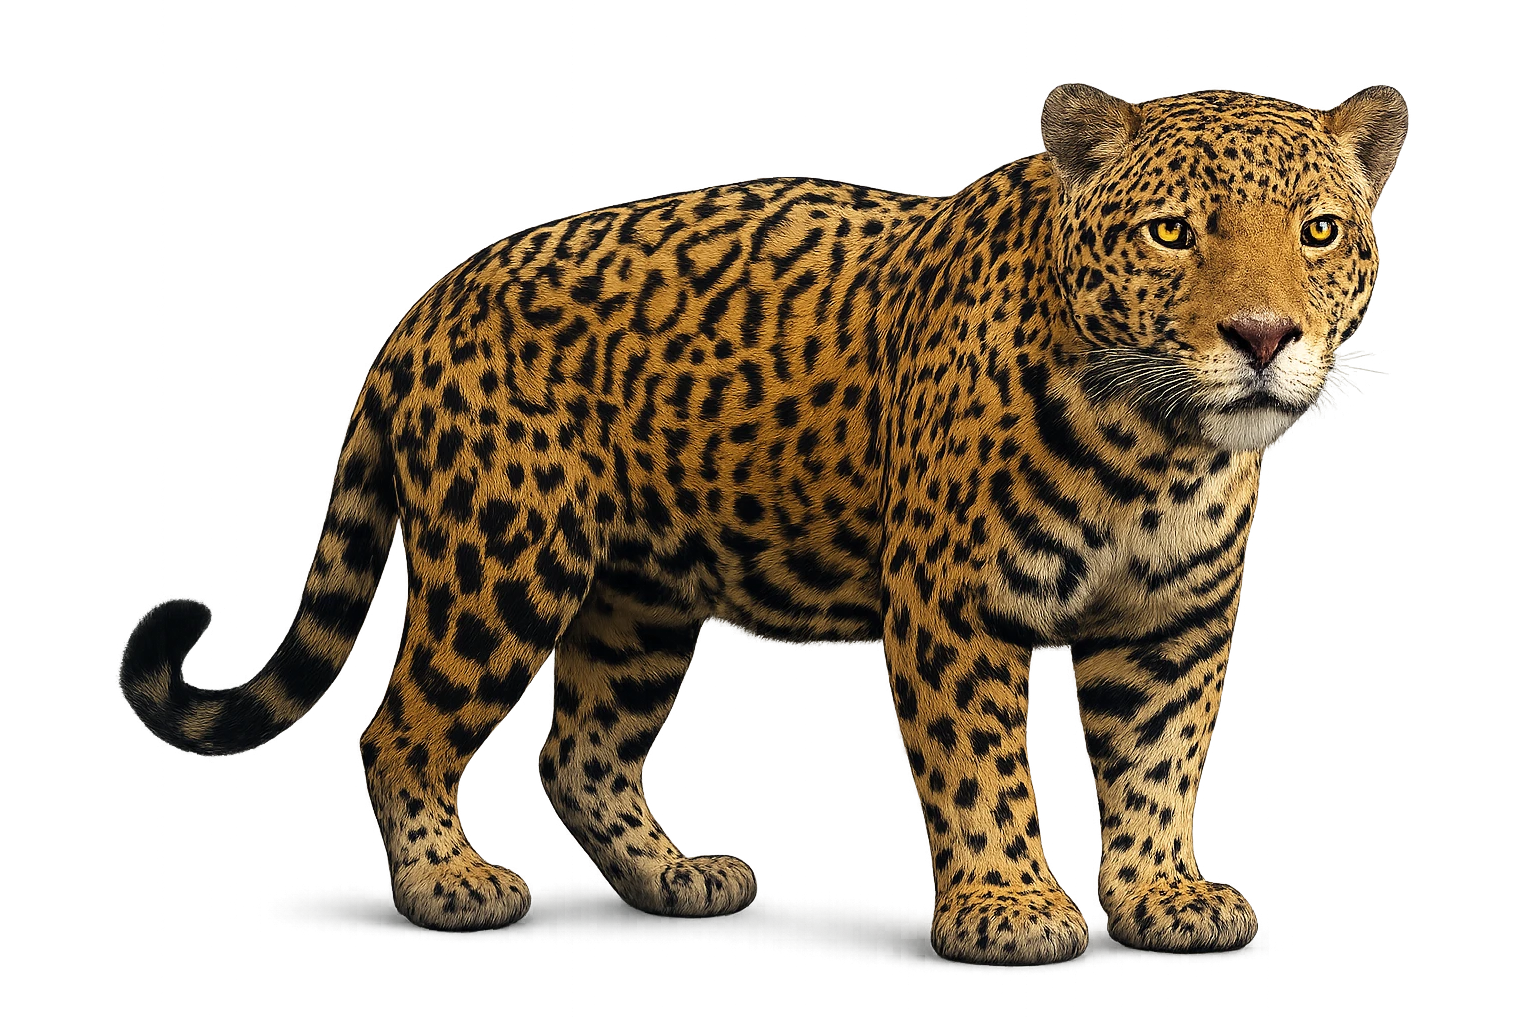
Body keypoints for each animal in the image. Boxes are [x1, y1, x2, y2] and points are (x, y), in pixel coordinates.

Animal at [120, 83, 1407, 965]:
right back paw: (449, 884)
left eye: (1317, 232)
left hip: (635, 603)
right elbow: (981, 766)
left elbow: (1156, 765)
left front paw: (1158, 896)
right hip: (505, 560)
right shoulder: (955, 605)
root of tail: (427, 299)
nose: (1260, 338)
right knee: (398, 726)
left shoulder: (1168, 628)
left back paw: (672, 874)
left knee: (578, 750)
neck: (1158, 448)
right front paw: (1007, 907)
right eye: (1171, 234)